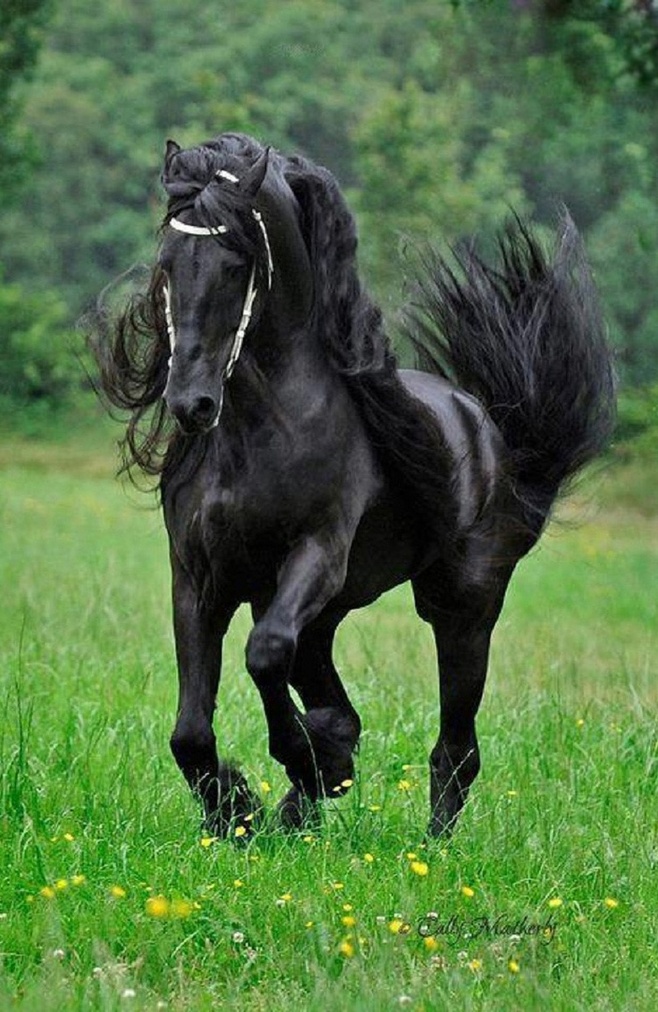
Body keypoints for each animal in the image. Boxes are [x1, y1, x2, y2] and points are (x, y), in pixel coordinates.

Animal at [93, 132, 615, 838]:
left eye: (235, 263)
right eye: (168, 261)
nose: (191, 405)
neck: (261, 432)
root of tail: (485, 423)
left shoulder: (317, 555)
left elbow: (264, 654)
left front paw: (292, 768)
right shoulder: (199, 578)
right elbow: (191, 731)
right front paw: (238, 810)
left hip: (461, 607)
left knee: (456, 745)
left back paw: (428, 840)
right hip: (325, 615)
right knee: (339, 704)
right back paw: (308, 795)